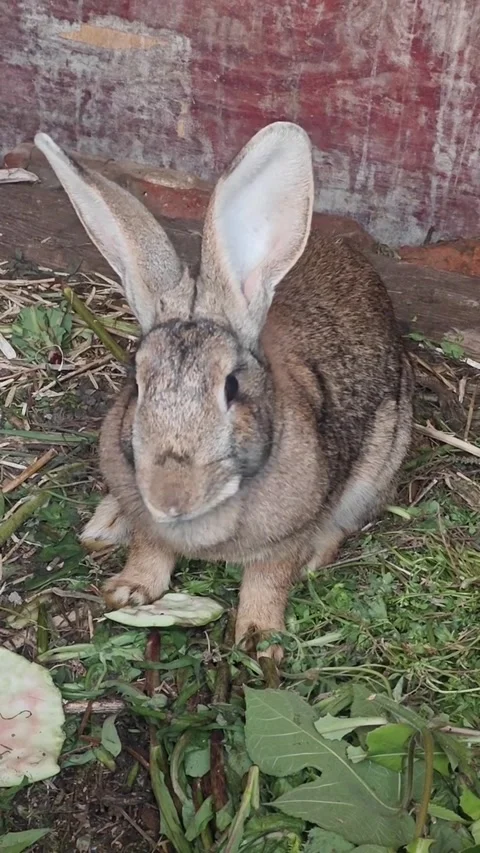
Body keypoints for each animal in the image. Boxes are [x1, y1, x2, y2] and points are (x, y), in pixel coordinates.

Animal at [35, 123, 413, 660]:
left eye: (231, 386)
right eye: (136, 381)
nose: (171, 499)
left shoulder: (286, 534)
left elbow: (268, 578)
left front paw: (259, 639)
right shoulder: (150, 521)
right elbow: (150, 548)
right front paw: (129, 590)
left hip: (382, 457)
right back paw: (106, 524)